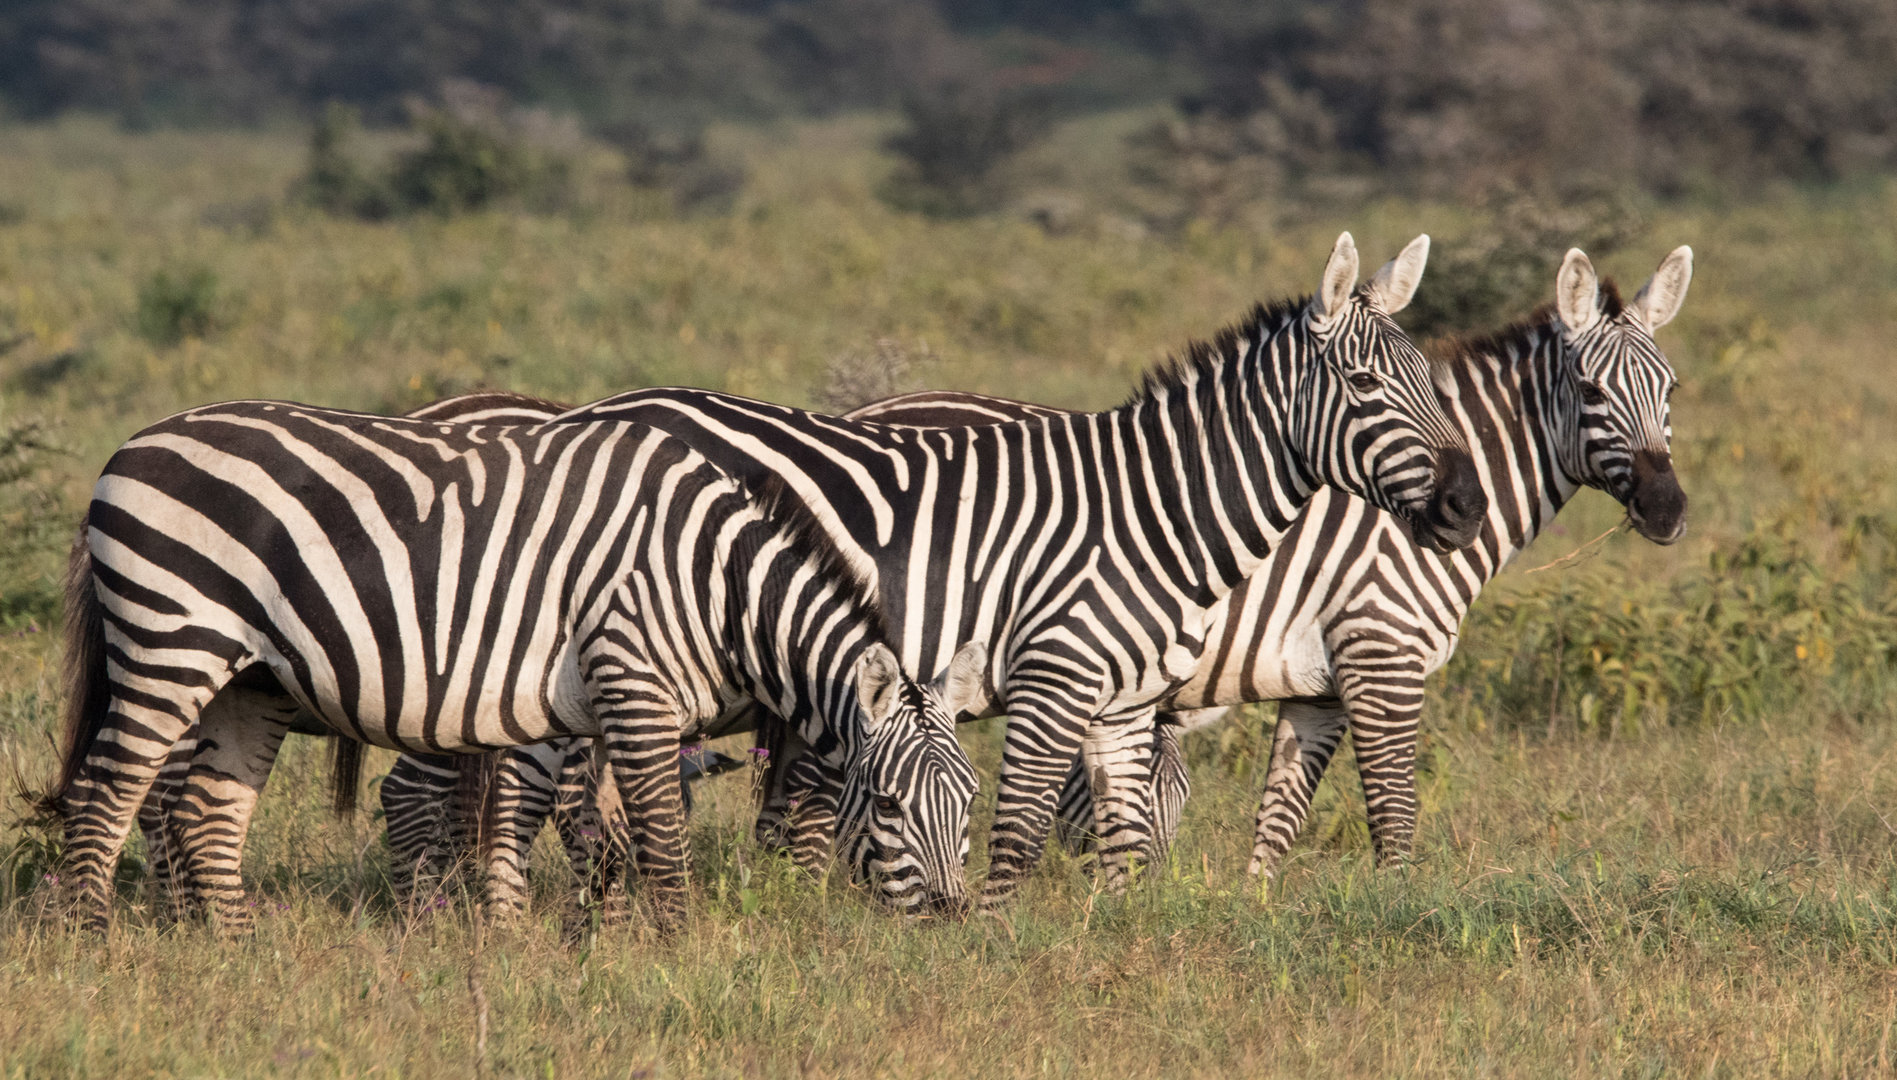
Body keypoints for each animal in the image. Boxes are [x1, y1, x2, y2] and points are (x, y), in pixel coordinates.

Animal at [43, 402, 987, 933]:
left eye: (969, 800)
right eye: (890, 803)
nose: (948, 918)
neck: (714, 585)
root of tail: (130, 446)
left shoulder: (579, 706)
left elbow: (578, 827)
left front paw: (570, 940)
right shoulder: (635, 686)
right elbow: (661, 842)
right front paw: (678, 950)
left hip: (253, 681)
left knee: (207, 812)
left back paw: (237, 955)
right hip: (171, 642)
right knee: (106, 798)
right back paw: (95, 943)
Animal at [533, 232, 1490, 906]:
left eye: (1429, 378)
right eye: (1365, 385)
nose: (1465, 507)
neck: (1150, 516)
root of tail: (585, 413)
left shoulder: (1124, 703)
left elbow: (1124, 847)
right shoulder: (1050, 677)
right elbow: (1018, 832)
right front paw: (989, 944)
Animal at [845, 245, 1695, 875]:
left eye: (1670, 390)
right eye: (1589, 389)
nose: (1667, 510)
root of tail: (868, 407)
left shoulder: (1317, 688)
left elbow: (1277, 823)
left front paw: (1255, 913)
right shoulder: (1380, 654)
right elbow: (1393, 812)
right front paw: (1399, 910)